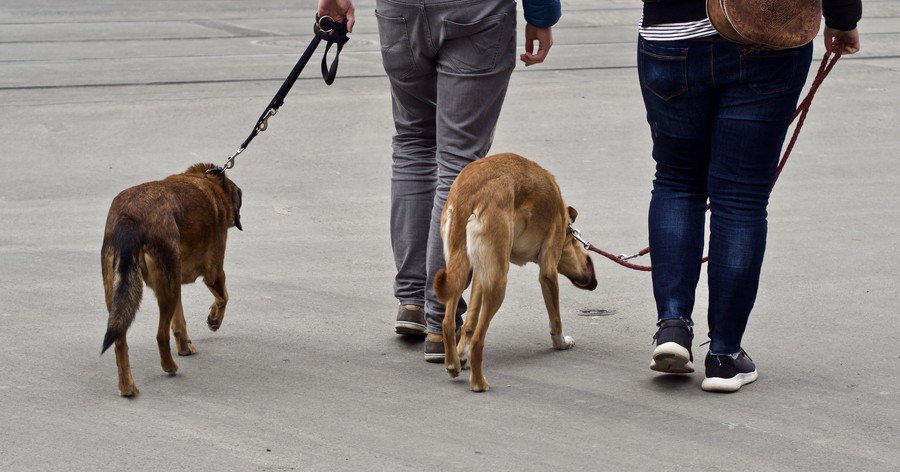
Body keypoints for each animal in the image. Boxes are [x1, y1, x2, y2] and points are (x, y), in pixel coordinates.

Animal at [99, 164, 243, 396]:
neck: (208, 180)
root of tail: (129, 218)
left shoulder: (176, 279)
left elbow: (179, 321)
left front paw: (184, 346)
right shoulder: (214, 273)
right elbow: (223, 297)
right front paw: (214, 320)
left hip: (122, 289)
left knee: (120, 339)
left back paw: (127, 386)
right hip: (168, 287)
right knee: (160, 335)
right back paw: (169, 366)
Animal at [434, 154, 596, 390]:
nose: (593, 283)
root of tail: (469, 192)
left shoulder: (482, 275)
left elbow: (469, 323)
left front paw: (461, 355)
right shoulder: (548, 272)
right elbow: (556, 318)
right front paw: (560, 342)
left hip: (464, 270)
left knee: (448, 323)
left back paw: (453, 363)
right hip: (499, 282)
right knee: (479, 339)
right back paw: (478, 383)